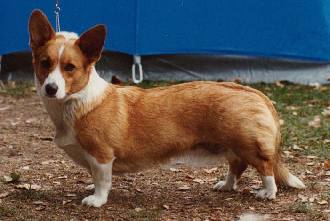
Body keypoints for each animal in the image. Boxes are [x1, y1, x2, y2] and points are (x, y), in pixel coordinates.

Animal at [28, 9, 304, 207]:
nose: (50, 88)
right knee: (237, 167)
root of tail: (255, 93)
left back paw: (267, 193)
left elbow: (103, 180)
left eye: (70, 67)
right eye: (45, 63)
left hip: (248, 146)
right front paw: (91, 187)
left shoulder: (102, 155)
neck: (77, 101)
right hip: (231, 147)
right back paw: (225, 186)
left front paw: (96, 199)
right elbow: (96, 178)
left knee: (266, 168)